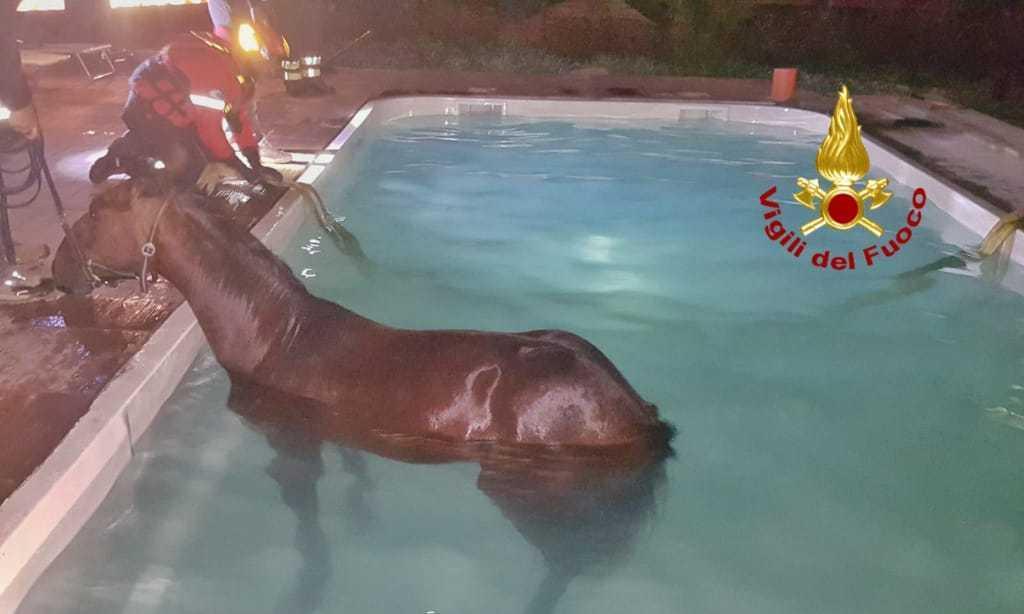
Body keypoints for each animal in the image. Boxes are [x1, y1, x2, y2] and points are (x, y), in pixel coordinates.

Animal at [51, 180, 675, 612]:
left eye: (94, 214)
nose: (57, 270)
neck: (276, 335)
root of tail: (635, 411)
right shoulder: (336, 432)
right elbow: (355, 476)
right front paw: (363, 515)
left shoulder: (292, 448)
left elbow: (309, 533)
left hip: (522, 490)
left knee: (568, 559)